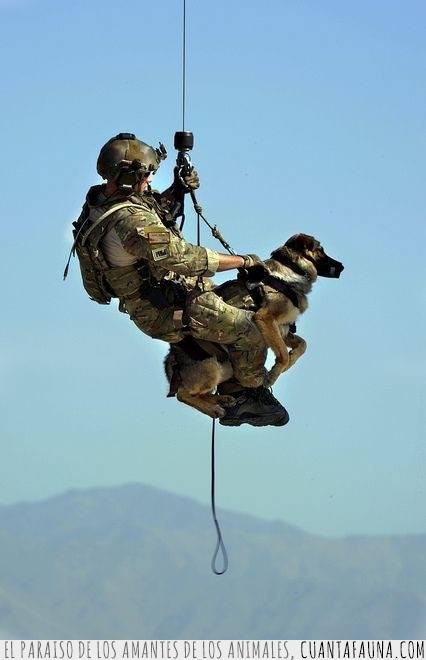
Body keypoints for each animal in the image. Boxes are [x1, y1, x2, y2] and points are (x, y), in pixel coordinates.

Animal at [165, 234, 344, 419]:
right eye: (321, 250)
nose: (342, 267)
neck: (293, 268)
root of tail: (171, 361)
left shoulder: (282, 329)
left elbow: (302, 344)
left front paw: (289, 361)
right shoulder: (265, 318)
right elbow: (283, 354)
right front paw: (274, 373)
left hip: (225, 368)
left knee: (200, 393)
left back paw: (221, 399)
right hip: (212, 367)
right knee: (183, 394)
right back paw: (213, 408)